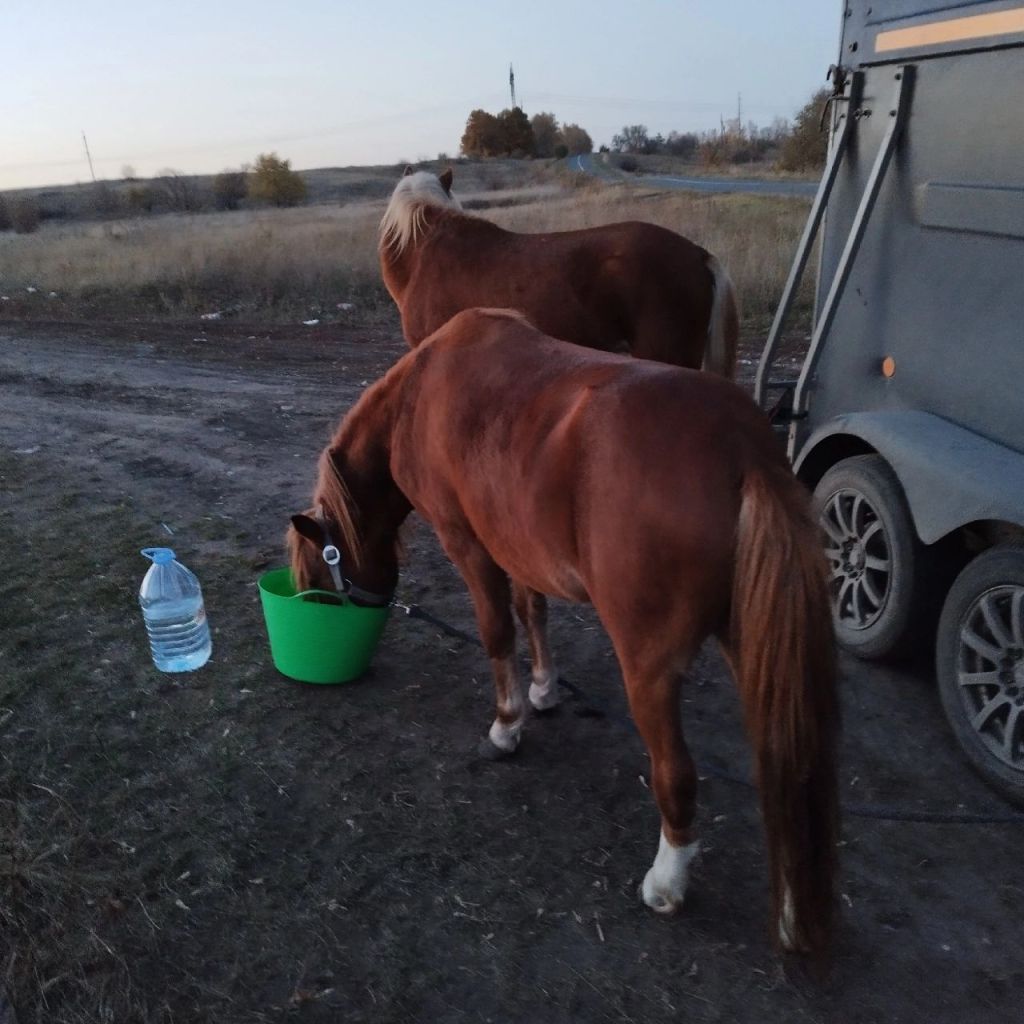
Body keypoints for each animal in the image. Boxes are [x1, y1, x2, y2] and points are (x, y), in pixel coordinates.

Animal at [284, 307, 835, 954]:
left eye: (317, 570)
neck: (418, 394)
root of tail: (742, 451)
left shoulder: (469, 544)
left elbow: (498, 631)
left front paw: (507, 724)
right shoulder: (518, 545)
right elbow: (534, 613)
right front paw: (544, 690)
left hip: (649, 669)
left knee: (676, 773)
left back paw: (666, 881)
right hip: (756, 653)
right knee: (788, 769)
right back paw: (794, 905)